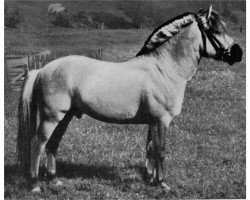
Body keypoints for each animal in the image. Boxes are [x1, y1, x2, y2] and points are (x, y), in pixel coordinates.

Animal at [16, 5, 242, 191]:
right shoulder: (162, 120)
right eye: (215, 30)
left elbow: (150, 149)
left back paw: (54, 179)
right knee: (38, 143)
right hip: (51, 117)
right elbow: (160, 150)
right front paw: (162, 183)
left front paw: (150, 178)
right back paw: (35, 184)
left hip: (66, 117)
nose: (238, 53)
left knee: (53, 144)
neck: (164, 69)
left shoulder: (153, 122)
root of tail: (43, 70)